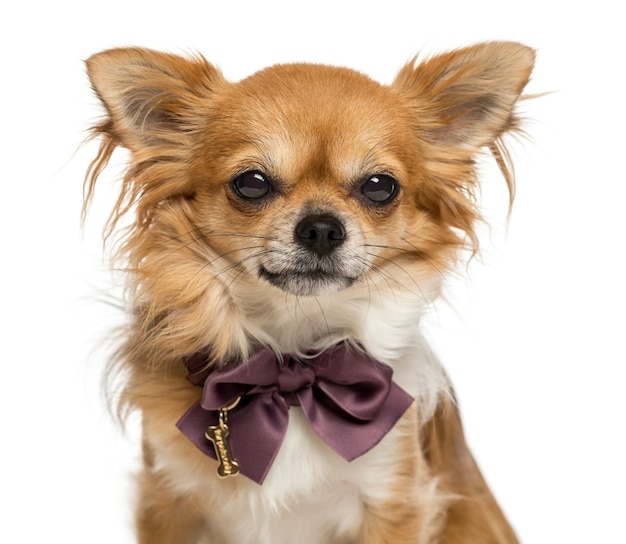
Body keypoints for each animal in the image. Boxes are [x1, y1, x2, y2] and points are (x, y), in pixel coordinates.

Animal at [83, 43, 532, 544]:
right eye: (252, 182)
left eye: (380, 187)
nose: (321, 228)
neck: (295, 369)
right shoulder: (167, 498)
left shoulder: (394, 495)